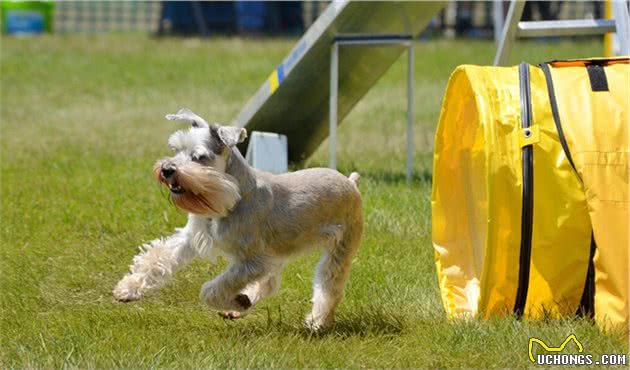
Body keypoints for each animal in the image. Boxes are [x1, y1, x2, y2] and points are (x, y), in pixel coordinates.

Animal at [111, 107, 362, 330]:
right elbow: (157, 257)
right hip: (278, 253)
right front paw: (127, 288)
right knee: (269, 283)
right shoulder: (192, 238)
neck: (231, 198)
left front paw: (236, 301)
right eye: (176, 148)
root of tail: (351, 182)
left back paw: (317, 322)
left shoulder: (251, 262)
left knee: (328, 288)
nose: (167, 169)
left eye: (199, 157)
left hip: (339, 251)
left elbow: (211, 290)